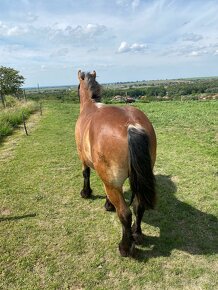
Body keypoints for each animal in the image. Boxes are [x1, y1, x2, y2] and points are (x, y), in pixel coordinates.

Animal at [75, 70, 157, 256]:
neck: (90, 107)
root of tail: (132, 125)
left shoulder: (82, 157)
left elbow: (85, 174)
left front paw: (86, 193)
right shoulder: (109, 179)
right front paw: (108, 203)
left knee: (125, 214)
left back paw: (125, 247)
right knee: (138, 206)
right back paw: (137, 234)